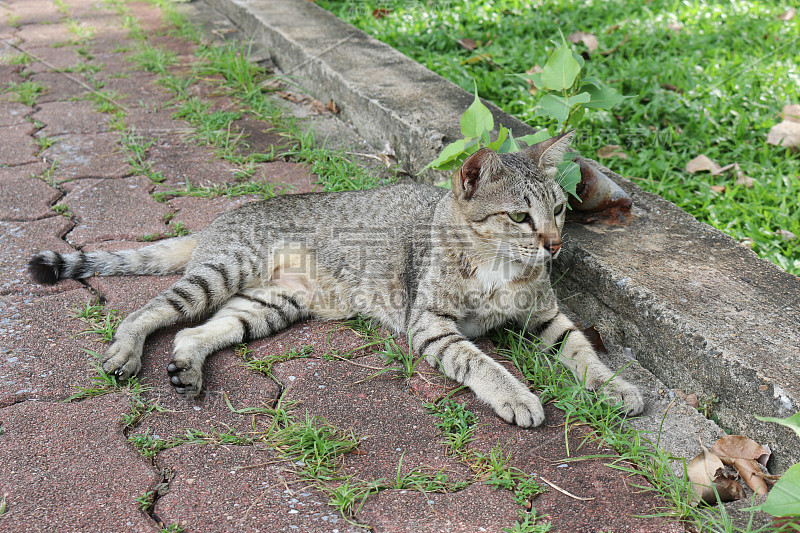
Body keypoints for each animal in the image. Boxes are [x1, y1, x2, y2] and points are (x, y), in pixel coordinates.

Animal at [28, 133, 648, 428]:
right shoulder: (430, 324)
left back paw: (187, 367)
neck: (500, 268)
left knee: (193, 332)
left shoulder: (546, 314)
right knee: (149, 311)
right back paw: (127, 349)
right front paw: (517, 395)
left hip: (268, 305)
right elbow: (481, 362)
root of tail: (219, 220)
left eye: (560, 210)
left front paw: (613, 385)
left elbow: (581, 348)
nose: (554, 245)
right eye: (520, 216)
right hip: (223, 272)